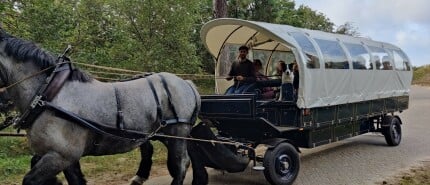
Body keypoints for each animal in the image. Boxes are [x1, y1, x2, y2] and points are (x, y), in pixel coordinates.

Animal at [0, 27, 201, 185]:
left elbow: (30, 179)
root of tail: (186, 83)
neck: (48, 92)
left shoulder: (61, 155)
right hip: (161, 134)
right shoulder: (59, 156)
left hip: (178, 132)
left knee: (180, 164)